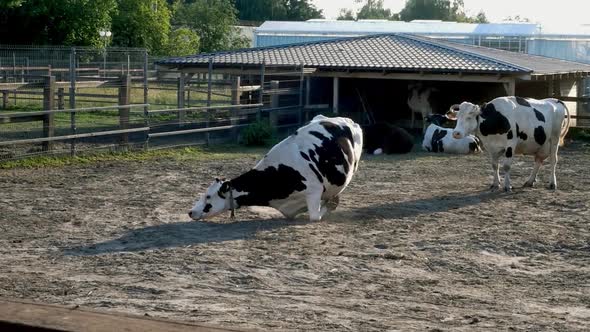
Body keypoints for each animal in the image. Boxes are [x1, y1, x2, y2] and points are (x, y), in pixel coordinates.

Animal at [190, 115, 366, 222]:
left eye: (208, 196)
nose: (190, 212)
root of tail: (345, 119)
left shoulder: (314, 191)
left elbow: (316, 216)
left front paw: (331, 203)